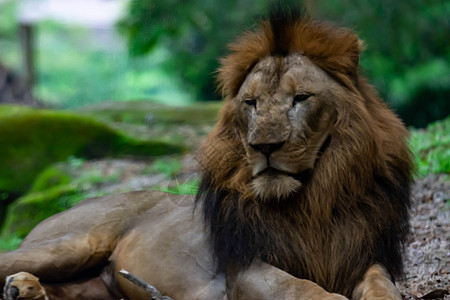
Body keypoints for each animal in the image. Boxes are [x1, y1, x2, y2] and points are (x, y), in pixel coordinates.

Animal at [1, 11, 414, 300]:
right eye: (251, 103)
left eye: (301, 98)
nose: (264, 146)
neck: (313, 202)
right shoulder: (245, 269)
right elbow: (303, 289)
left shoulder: (362, 257)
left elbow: (382, 285)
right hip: (71, 244)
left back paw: (26, 290)